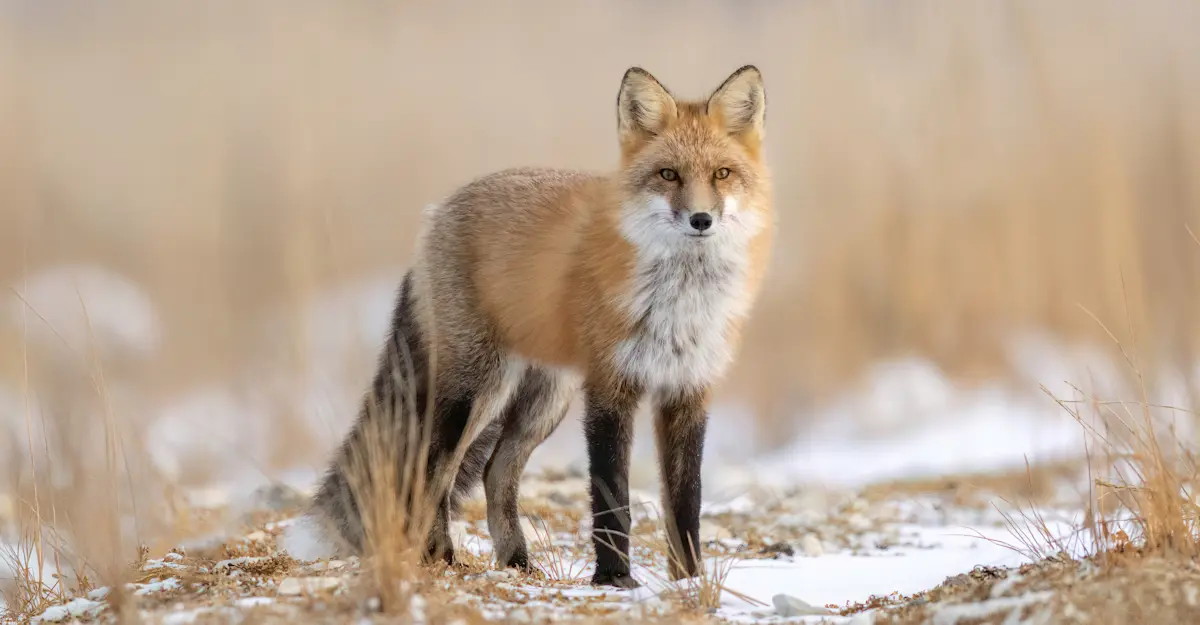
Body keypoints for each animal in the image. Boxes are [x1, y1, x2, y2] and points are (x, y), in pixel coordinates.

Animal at [308, 65, 774, 588]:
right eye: (668, 174)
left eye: (722, 174)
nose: (701, 219)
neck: (680, 304)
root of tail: (437, 213)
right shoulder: (610, 388)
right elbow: (612, 498)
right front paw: (615, 580)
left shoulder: (688, 390)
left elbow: (686, 502)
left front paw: (688, 580)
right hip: (476, 390)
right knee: (433, 470)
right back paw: (441, 557)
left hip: (545, 399)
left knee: (494, 473)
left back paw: (516, 562)